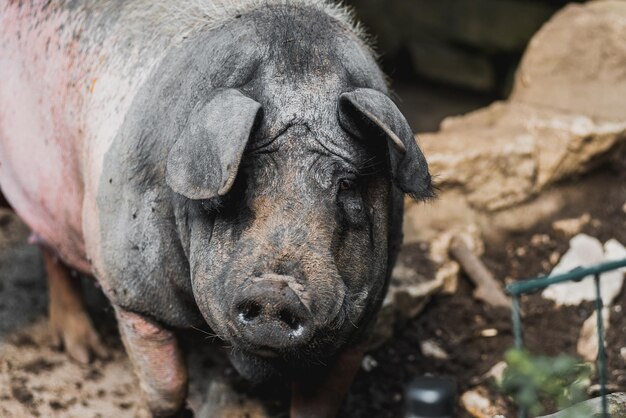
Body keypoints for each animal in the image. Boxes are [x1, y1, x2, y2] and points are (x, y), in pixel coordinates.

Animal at [0, 1, 428, 416]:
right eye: (241, 179)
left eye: (347, 184)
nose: (277, 290)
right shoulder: (132, 290)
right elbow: (167, 387)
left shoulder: (361, 325)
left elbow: (319, 405)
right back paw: (88, 355)